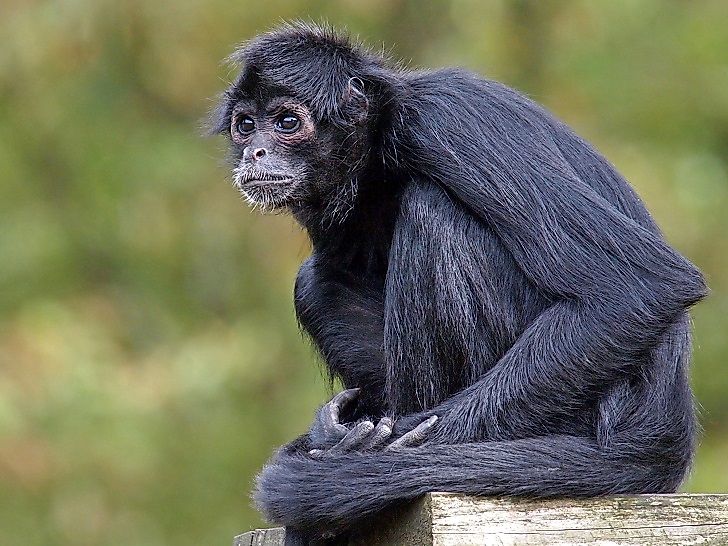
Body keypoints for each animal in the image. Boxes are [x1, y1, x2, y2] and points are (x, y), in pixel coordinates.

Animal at [211, 22, 707, 542]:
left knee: (433, 209)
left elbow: (638, 286)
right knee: (315, 281)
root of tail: (662, 429)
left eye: (287, 122)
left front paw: (359, 450)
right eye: (246, 125)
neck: (384, 136)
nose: (255, 151)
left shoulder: (446, 119)